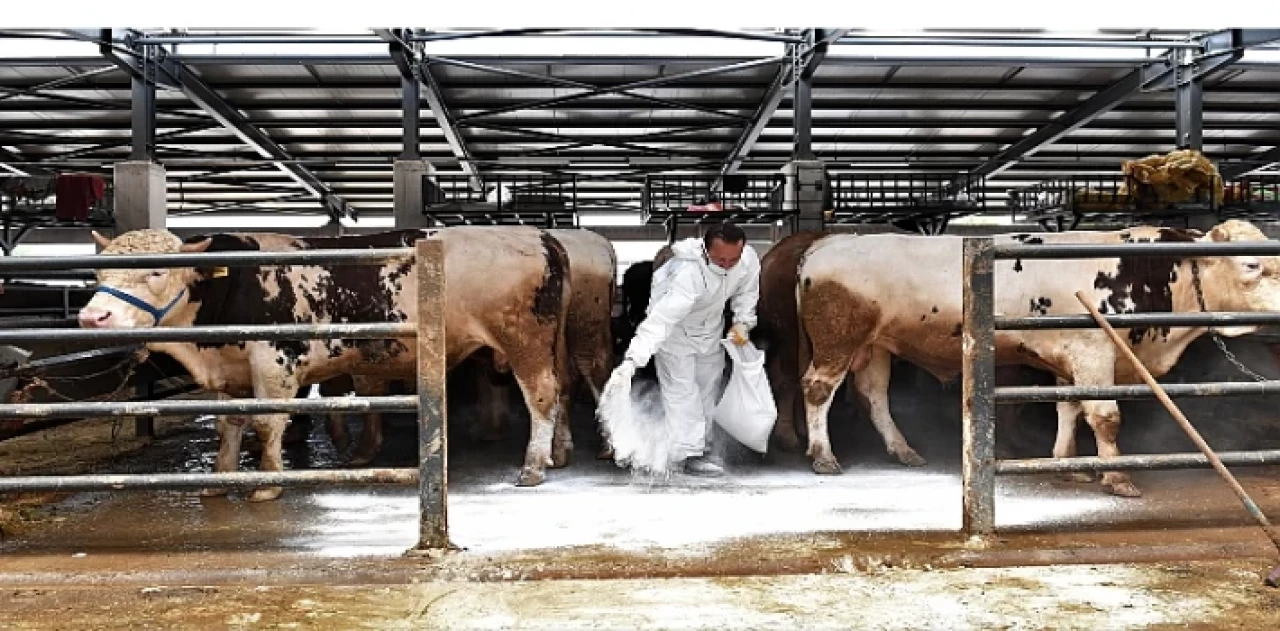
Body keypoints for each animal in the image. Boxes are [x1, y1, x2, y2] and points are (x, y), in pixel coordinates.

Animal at [81, 223, 576, 499]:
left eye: (157, 270)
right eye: (99, 271)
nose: (92, 317)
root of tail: (537, 235)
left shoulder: (275, 364)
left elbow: (267, 425)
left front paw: (267, 485)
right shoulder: (231, 371)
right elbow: (229, 426)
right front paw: (219, 481)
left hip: (523, 341)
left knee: (542, 395)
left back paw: (533, 466)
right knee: (561, 391)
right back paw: (558, 453)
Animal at [793, 218, 1280, 494]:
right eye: (1251, 265)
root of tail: (825, 244)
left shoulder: (1070, 360)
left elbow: (1070, 409)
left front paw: (1067, 463)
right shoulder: (1094, 351)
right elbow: (1105, 417)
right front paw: (1118, 477)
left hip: (874, 345)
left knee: (874, 395)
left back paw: (903, 449)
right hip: (838, 340)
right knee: (817, 390)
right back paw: (824, 456)